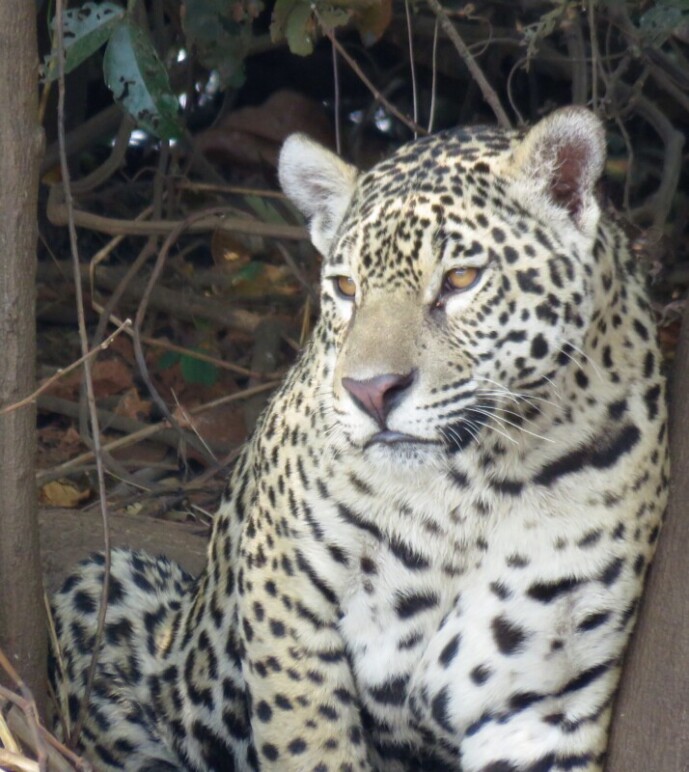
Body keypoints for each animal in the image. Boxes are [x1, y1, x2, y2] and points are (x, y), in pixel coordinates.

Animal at [50, 106, 669, 772]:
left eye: (461, 278)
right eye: (346, 288)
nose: (372, 391)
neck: (472, 486)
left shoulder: (540, 696)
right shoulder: (285, 592)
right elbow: (308, 741)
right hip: (111, 590)